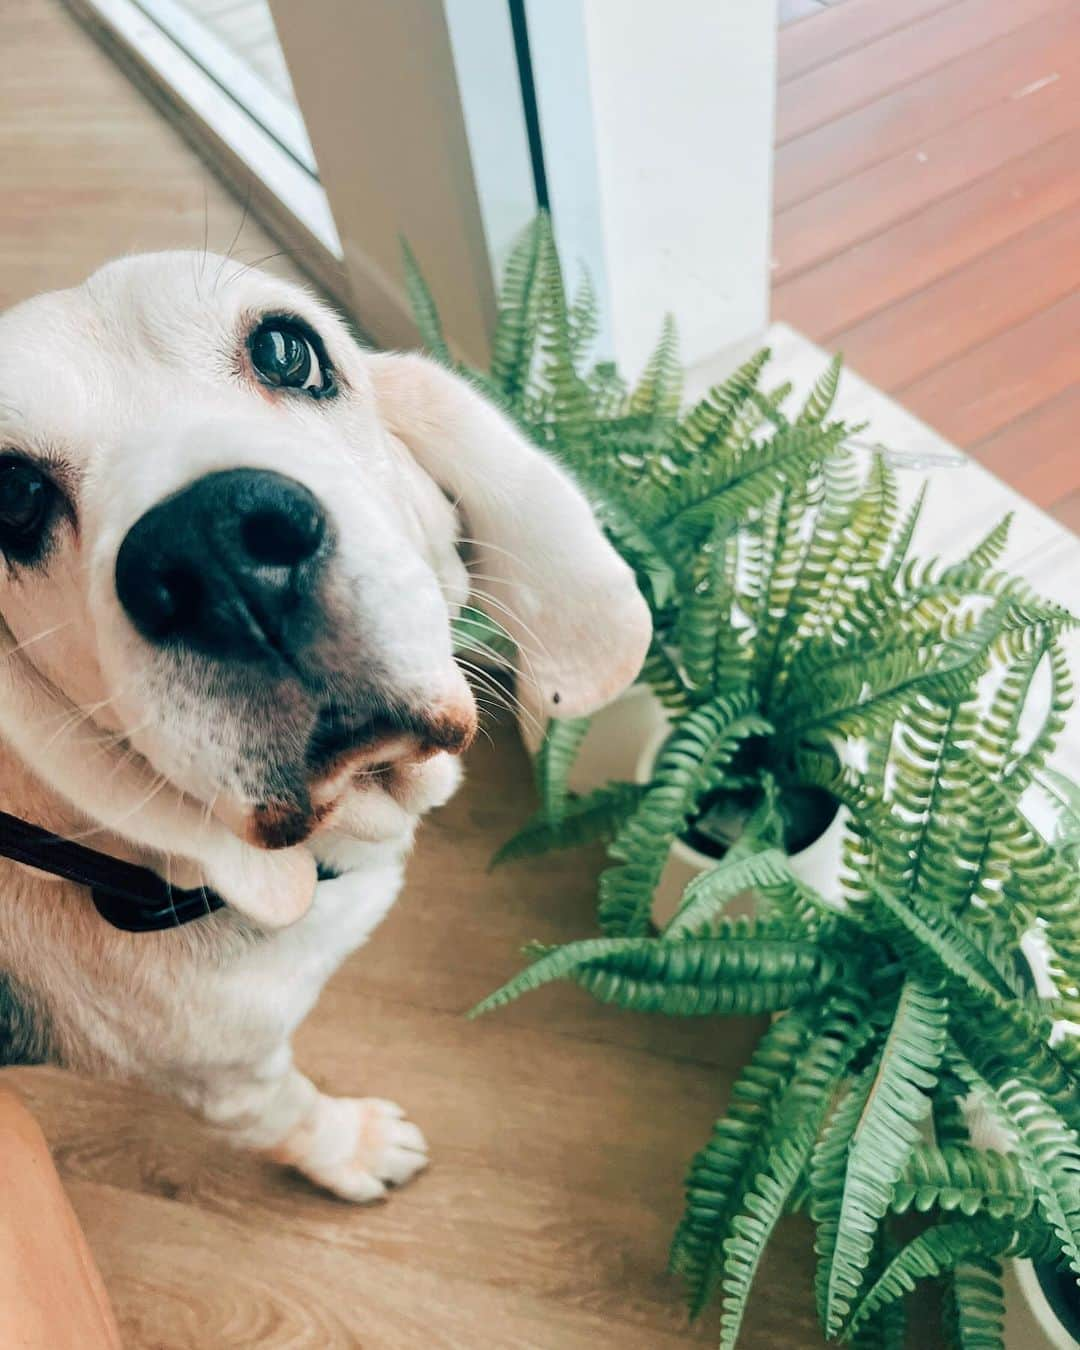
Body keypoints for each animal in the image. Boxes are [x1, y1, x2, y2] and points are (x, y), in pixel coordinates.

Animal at [0, 255, 650, 1204]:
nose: (215, 553)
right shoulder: (222, 1074)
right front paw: (354, 1148)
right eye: (12, 502)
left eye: (286, 349)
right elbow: (289, 1113)